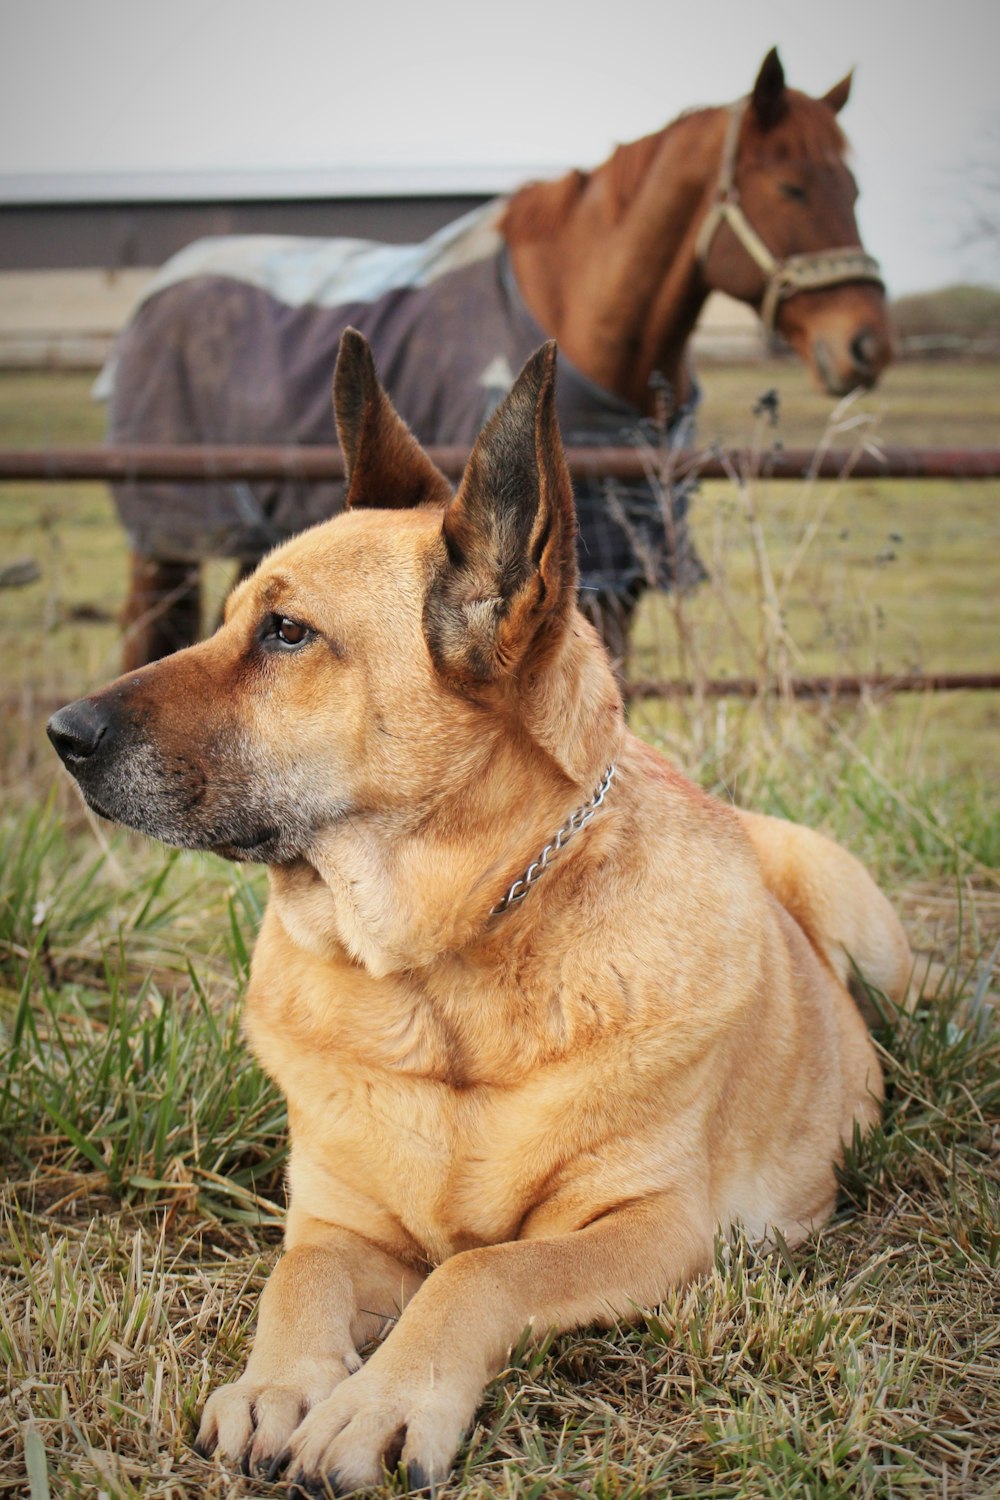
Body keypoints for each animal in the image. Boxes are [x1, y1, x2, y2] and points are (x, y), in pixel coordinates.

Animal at [46, 334, 911, 1494]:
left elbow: (481, 1273)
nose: (61, 733)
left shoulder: (651, 1228)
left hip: (844, 904)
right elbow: (296, 1278)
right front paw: (277, 1385)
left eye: (287, 633)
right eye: (230, 619)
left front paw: (383, 1402)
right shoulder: (339, 1224)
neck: (437, 971)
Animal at [107, 48, 893, 669]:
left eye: (857, 190)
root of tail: (158, 294)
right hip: (166, 539)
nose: (866, 345)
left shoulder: (616, 574)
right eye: (791, 187)